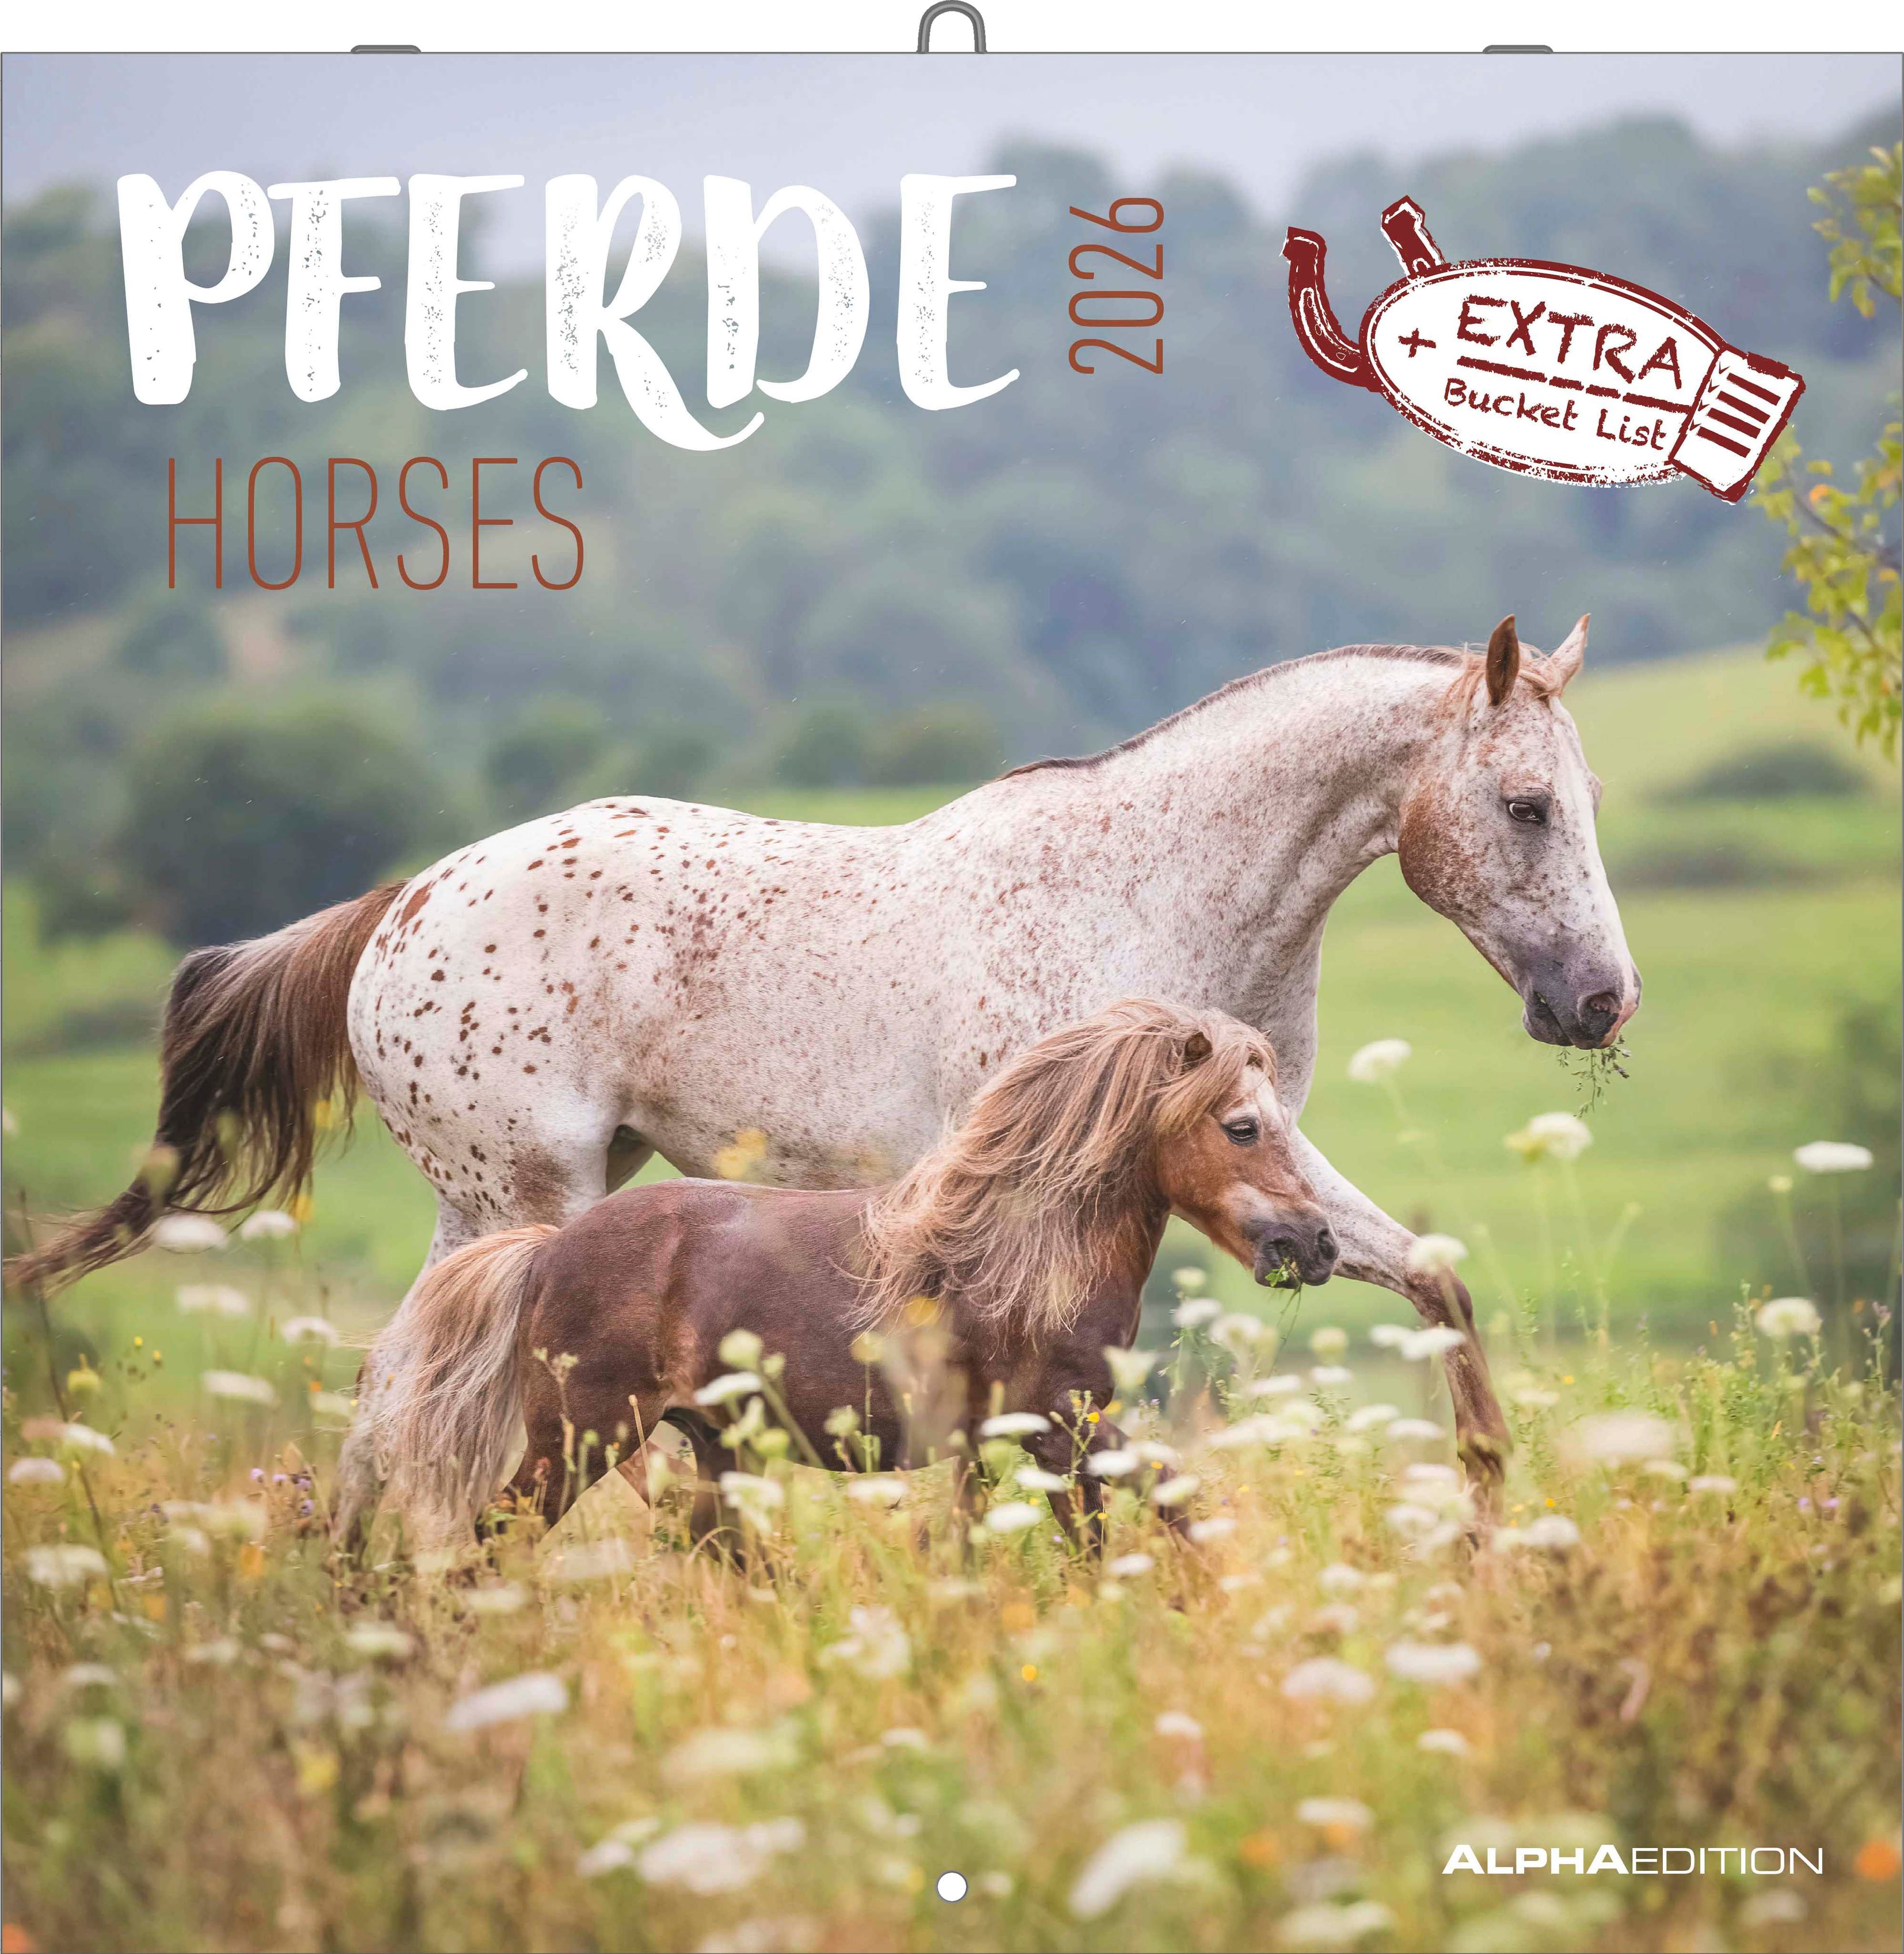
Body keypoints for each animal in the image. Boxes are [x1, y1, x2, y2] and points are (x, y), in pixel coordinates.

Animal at [341, 999, 1338, 1551]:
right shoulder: (1063, 1431)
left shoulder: (1023, 1442)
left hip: (713, 1447)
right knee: (495, 1540)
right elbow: (1123, 1533)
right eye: (1243, 1125)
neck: (1022, 1258)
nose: (1319, 1244)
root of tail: (546, 1249)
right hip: (580, 1440)